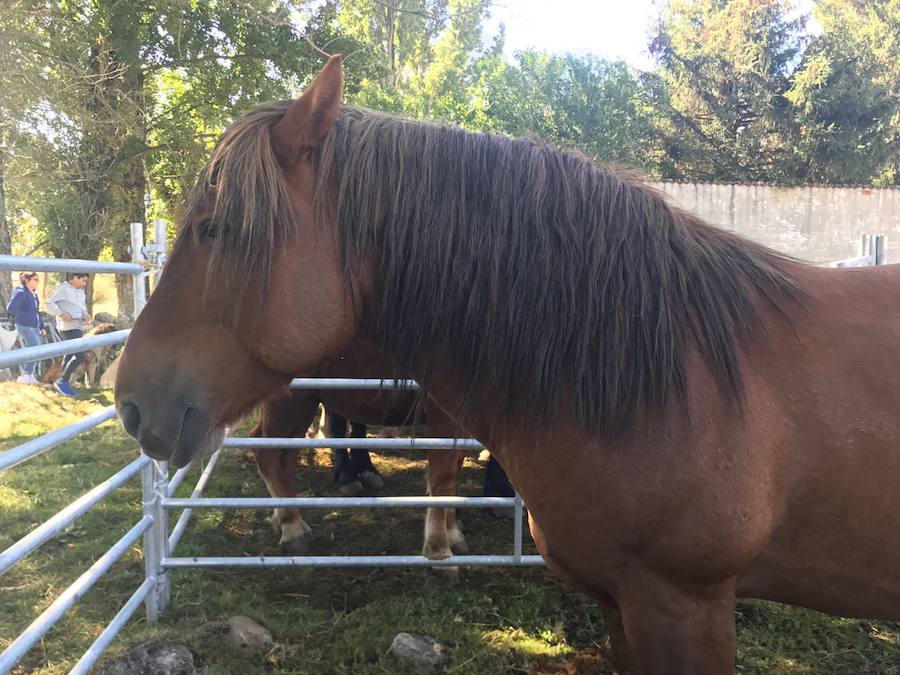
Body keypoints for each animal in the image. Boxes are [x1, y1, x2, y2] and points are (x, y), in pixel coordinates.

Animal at [251, 336, 468, 564]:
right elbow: (444, 476)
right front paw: (446, 541)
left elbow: (453, 472)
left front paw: (452, 529)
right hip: (289, 400)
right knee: (266, 453)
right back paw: (291, 529)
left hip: (307, 401)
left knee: (285, 456)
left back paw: (291, 519)